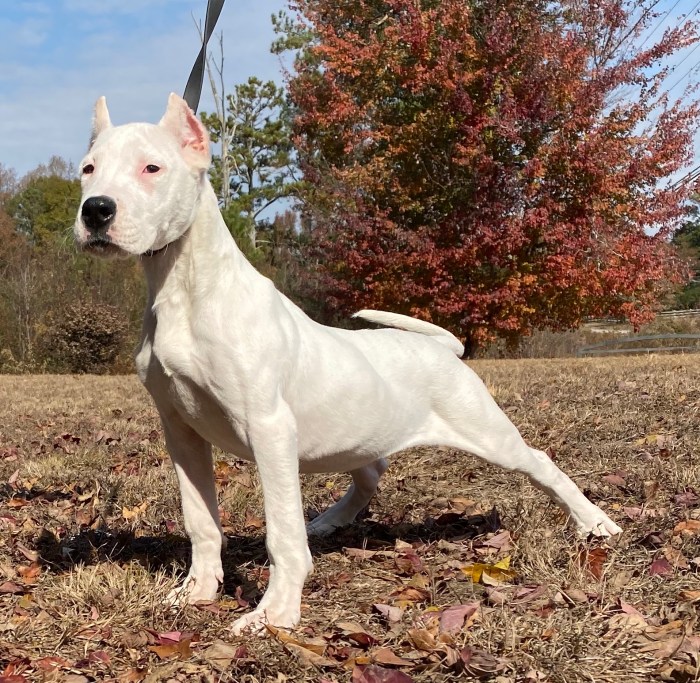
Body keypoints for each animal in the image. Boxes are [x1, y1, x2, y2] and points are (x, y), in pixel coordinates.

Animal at [75, 93, 624, 632]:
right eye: (88, 169)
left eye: (152, 167)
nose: (95, 210)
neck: (184, 287)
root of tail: (443, 349)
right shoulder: (181, 430)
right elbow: (201, 521)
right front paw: (198, 591)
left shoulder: (268, 427)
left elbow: (281, 533)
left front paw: (275, 612)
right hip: (355, 434)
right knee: (372, 471)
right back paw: (329, 520)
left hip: (486, 431)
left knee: (539, 462)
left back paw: (595, 523)